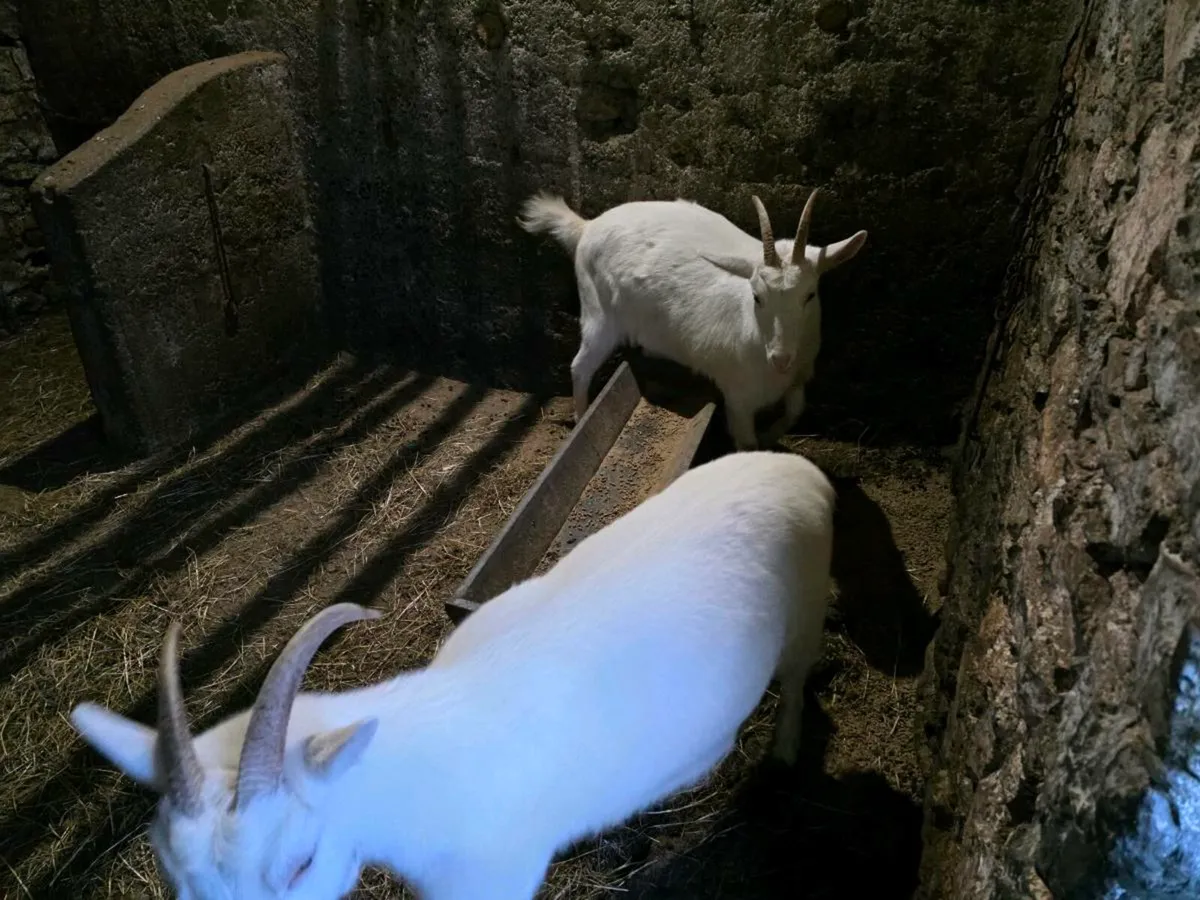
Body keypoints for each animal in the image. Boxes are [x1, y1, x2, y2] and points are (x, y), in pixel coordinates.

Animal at [70, 450, 835, 900]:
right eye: (173, 875)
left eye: (300, 862)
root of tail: (805, 468)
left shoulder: (494, 879)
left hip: (804, 616)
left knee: (801, 682)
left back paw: (783, 756)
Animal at [518, 190, 867, 449]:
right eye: (757, 296)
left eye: (810, 295)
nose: (780, 358)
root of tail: (586, 227)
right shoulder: (738, 396)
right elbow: (746, 443)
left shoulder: (798, 378)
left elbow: (795, 411)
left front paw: (771, 435)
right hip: (598, 315)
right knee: (581, 367)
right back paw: (580, 419)